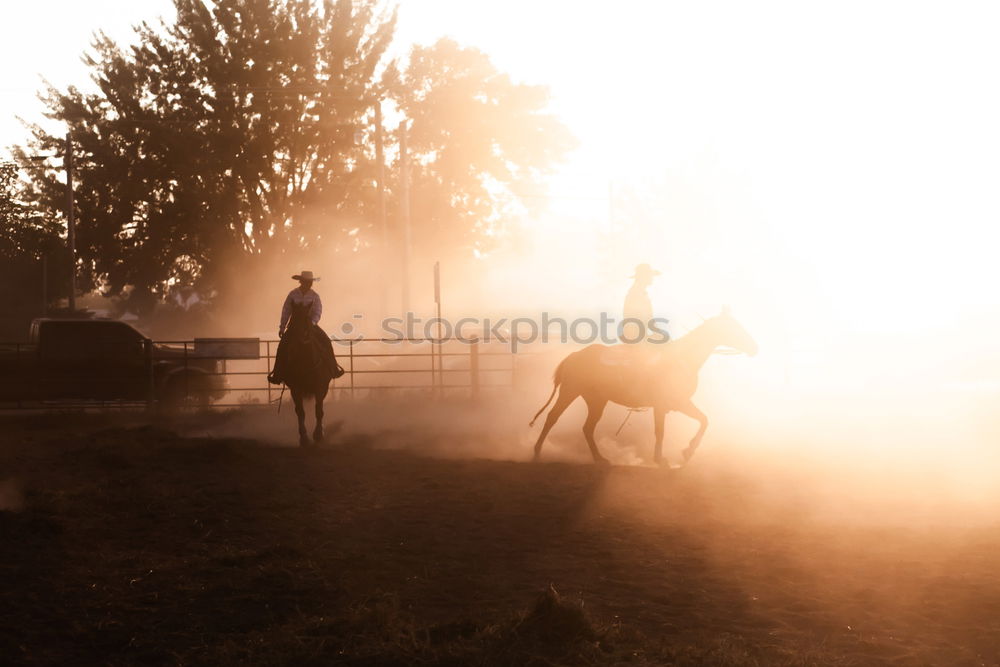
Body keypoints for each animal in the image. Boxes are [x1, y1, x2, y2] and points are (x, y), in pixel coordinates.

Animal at [282, 302, 332, 448]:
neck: (306, 360)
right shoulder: (295, 389)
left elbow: (319, 410)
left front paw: (319, 435)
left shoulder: (321, 387)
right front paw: (304, 438)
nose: (297, 340)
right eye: (292, 320)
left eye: (306, 318)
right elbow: (300, 412)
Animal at [528, 306, 752, 464]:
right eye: (734, 328)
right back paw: (537, 452)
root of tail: (574, 356)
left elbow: (703, 420)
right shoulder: (662, 405)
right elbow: (660, 431)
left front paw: (688, 451)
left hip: (596, 401)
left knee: (587, 428)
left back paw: (599, 458)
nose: (755, 347)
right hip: (570, 392)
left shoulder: (680, 402)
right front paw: (661, 459)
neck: (682, 358)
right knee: (553, 418)